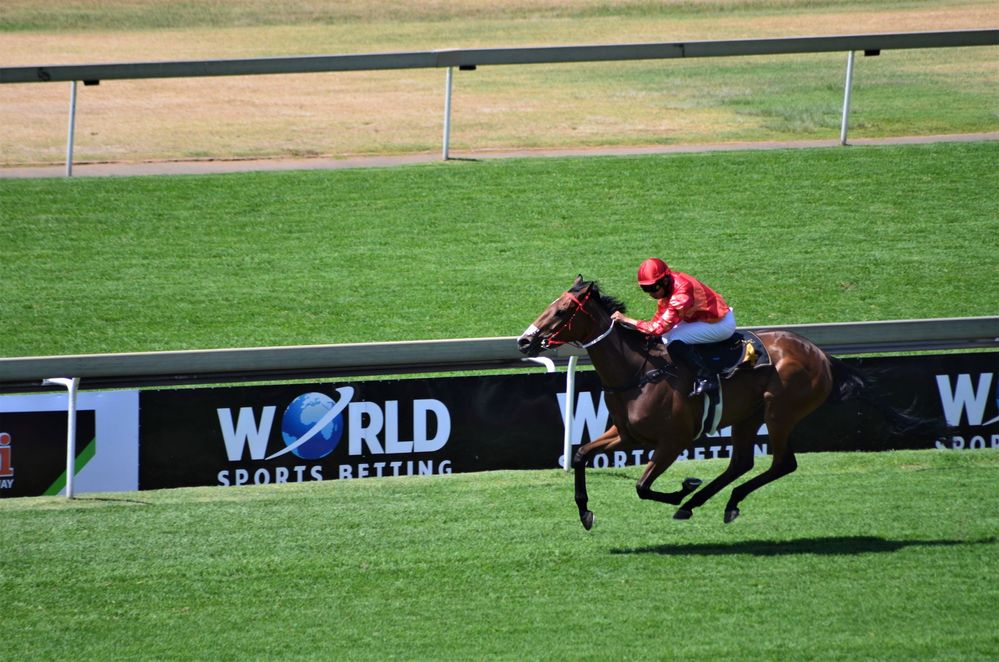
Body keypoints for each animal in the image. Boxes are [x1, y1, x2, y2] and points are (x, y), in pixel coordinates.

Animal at [520, 278, 872, 532]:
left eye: (563, 310)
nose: (524, 341)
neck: (638, 371)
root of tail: (820, 354)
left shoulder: (674, 441)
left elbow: (642, 486)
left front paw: (684, 487)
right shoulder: (627, 434)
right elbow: (581, 454)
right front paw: (585, 512)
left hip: (780, 413)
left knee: (783, 463)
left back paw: (704, 501)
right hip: (748, 415)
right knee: (741, 462)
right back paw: (710, 503)